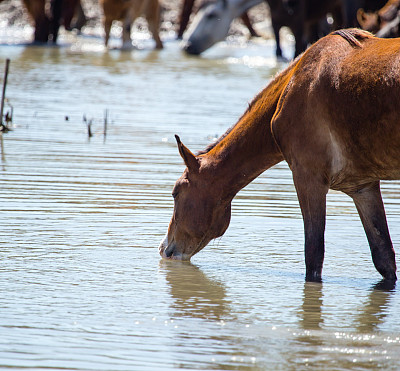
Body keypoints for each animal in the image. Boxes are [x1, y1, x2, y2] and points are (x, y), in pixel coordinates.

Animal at [161, 29, 398, 284]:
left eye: (176, 193)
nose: (165, 249)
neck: (293, 86)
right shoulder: (363, 187)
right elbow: (384, 258)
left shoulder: (308, 179)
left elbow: (313, 256)